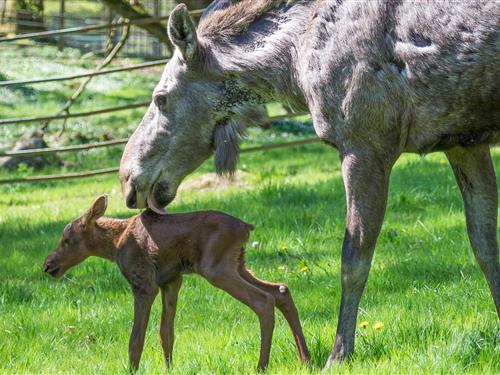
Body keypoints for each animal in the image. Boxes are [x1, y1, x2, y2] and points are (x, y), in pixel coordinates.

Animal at [44, 195, 308, 372]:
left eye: (67, 239)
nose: (48, 264)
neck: (114, 245)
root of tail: (246, 227)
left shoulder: (143, 283)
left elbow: (136, 339)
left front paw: (133, 369)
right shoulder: (171, 281)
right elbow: (166, 333)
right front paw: (168, 368)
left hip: (217, 268)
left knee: (263, 300)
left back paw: (261, 366)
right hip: (238, 264)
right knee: (281, 290)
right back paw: (305, 359)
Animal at [119, 0, 498, 370]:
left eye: (160, 97)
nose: (127, 178)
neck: (294, 63)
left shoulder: (365, 145)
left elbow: (354, 259)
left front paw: (338, 354)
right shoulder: (464, 143)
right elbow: (485, 247)